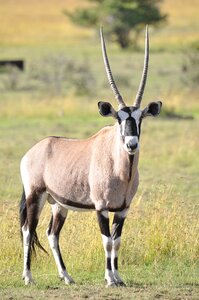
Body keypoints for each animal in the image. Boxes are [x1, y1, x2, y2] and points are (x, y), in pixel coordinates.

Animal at [19, 27, 162, 288]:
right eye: (119, 119)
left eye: (140, 118)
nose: (131, 144)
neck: (121, 170)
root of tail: (33, 150)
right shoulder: (101, 207)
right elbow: (106, 241)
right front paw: (109, 279)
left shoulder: (123, 209)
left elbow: (117, 241)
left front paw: (118, 277)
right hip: (36, 196)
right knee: (28, 230)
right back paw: (28, 277)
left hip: (58, 204)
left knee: (52, 234)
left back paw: (66, 276)